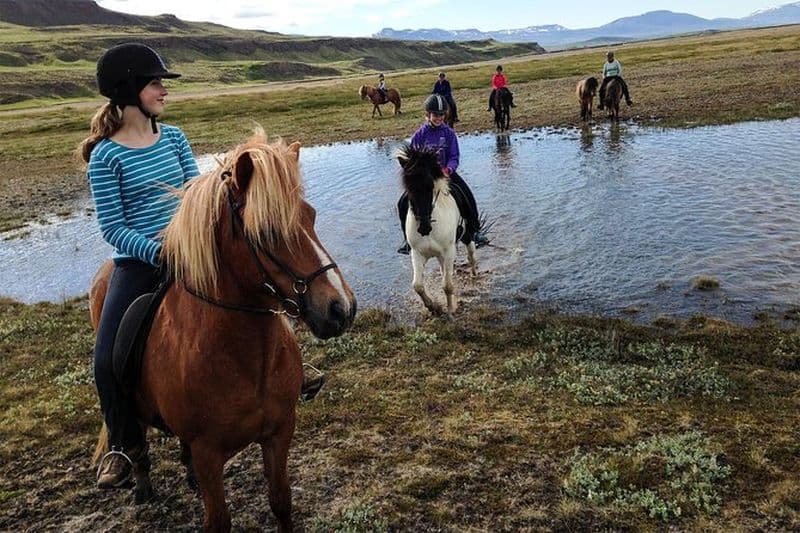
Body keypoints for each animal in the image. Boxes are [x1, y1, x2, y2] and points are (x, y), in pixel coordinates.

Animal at [89, 130, 357, 532]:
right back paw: (140, 485)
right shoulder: (209, 453)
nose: (341, 308)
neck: (245, 360)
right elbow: (218, 520)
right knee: (137, 443)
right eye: (267, 231)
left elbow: (281, 501)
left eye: (310, 215)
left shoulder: (279, 433)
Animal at [397, 144, 476, 315]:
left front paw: (451, 310)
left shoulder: (449, 252)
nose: (424, 228)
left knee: (471, 255)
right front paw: (434, 307)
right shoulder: (417, 253)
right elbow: (418, 286)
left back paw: (474, 274)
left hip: (467, 236)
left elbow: (447, 285)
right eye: (408, 188)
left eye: (429, 186)